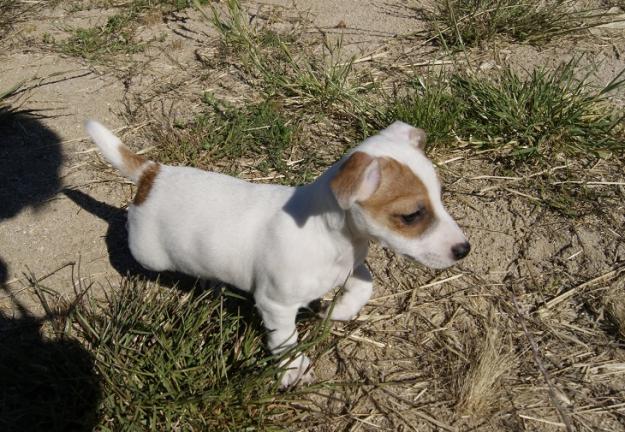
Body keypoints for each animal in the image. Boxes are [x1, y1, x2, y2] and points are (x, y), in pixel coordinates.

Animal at [85, 119, 470, 388]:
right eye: (411, 216)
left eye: (440, 196)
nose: (464, 249)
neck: (329, 237)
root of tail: (152, 173)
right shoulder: (276, 304)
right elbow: (285, 340)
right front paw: (293, 369)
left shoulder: (350, 266)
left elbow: (364, 283)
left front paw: (339, 311)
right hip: (148, 253)